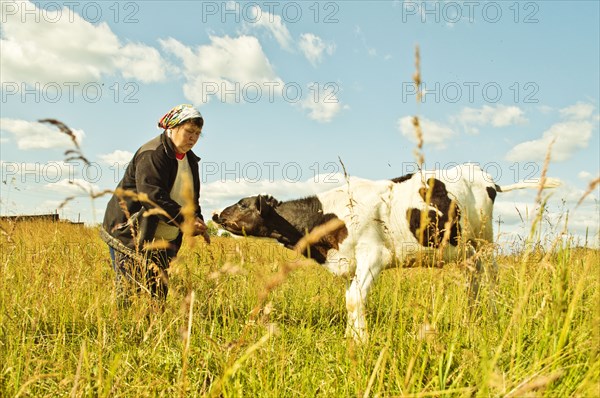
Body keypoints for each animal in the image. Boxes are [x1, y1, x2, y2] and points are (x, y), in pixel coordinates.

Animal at [213, 163, 560, 340]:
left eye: (243, 204)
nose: (216, 213)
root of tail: (486, 176)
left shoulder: (373, 256)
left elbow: (355, 299)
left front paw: (360, 342)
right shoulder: (350, 262)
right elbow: (352, 299)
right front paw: (353, 337)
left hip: (484, 240)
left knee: (492, 275)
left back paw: (491, 313)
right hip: (464, 249)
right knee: (473, 277)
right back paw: (471, 316)